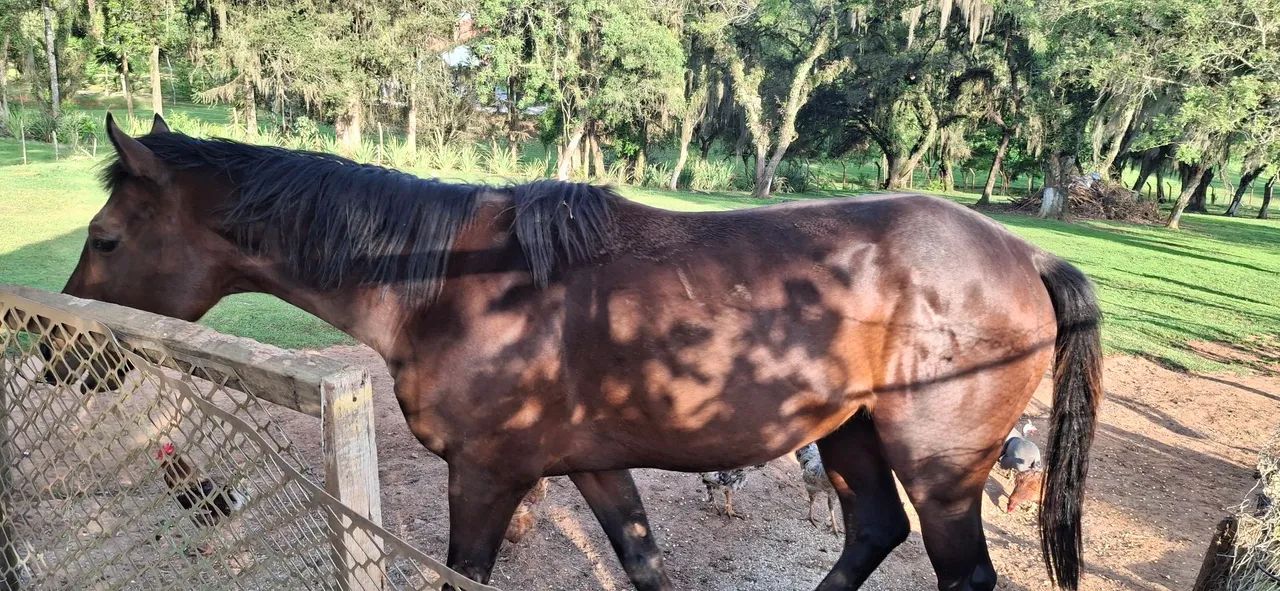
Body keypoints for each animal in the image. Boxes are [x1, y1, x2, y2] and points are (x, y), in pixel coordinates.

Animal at [62, 113, 1101, 591]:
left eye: (105, 237)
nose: (62, 354)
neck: (444, 282)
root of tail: (1024, 253)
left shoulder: (486, 474)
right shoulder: (594, 465)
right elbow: (644, 563)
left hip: (941, 470)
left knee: (958, 568)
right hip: (848, 434)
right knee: (870, 533)